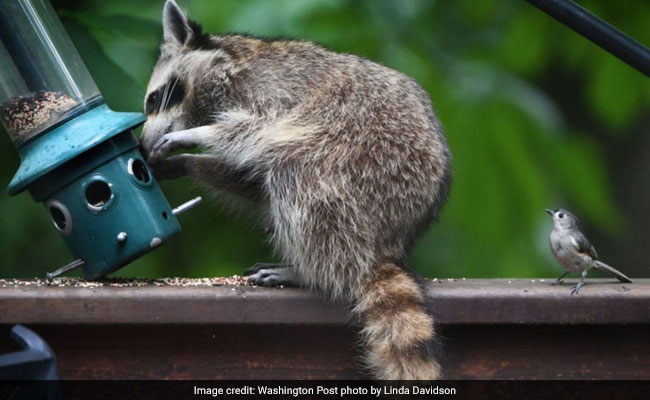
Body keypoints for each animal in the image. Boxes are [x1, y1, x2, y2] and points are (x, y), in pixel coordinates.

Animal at [141, 0, 452, 380]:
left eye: (154, 100)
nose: (141, 145)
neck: (226, 63)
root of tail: (388, 244)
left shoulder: (271, 91)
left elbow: (258, 130)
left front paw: (194, 135)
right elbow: (251, 180)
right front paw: (184, 162)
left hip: (371, 164)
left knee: (297, 173)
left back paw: (310, 272)